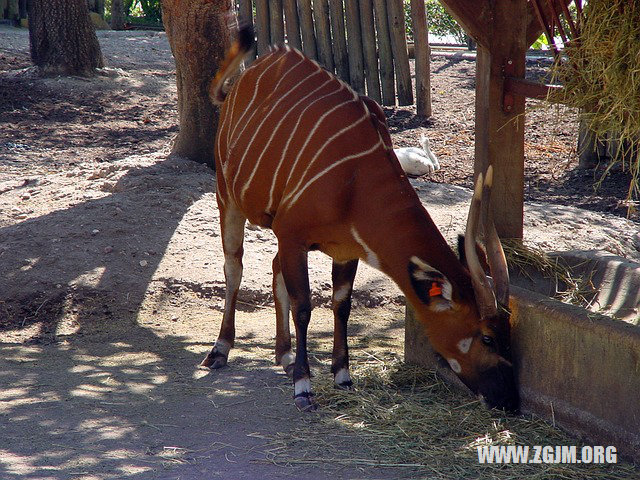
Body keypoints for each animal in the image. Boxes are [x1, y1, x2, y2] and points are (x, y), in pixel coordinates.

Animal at [205, 23, 520, 412]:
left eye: (509, 334)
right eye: (487, 337)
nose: (510, 400)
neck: (356, 179)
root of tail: (243, 81)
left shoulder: (344, 249)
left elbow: (342, 304)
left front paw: (342, 376)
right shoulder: (293, 234)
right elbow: (304, 306)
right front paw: (304, 387)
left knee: (275, 267)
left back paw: (285, 355)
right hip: (227, 197)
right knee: (234, 266)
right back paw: (220, 350)